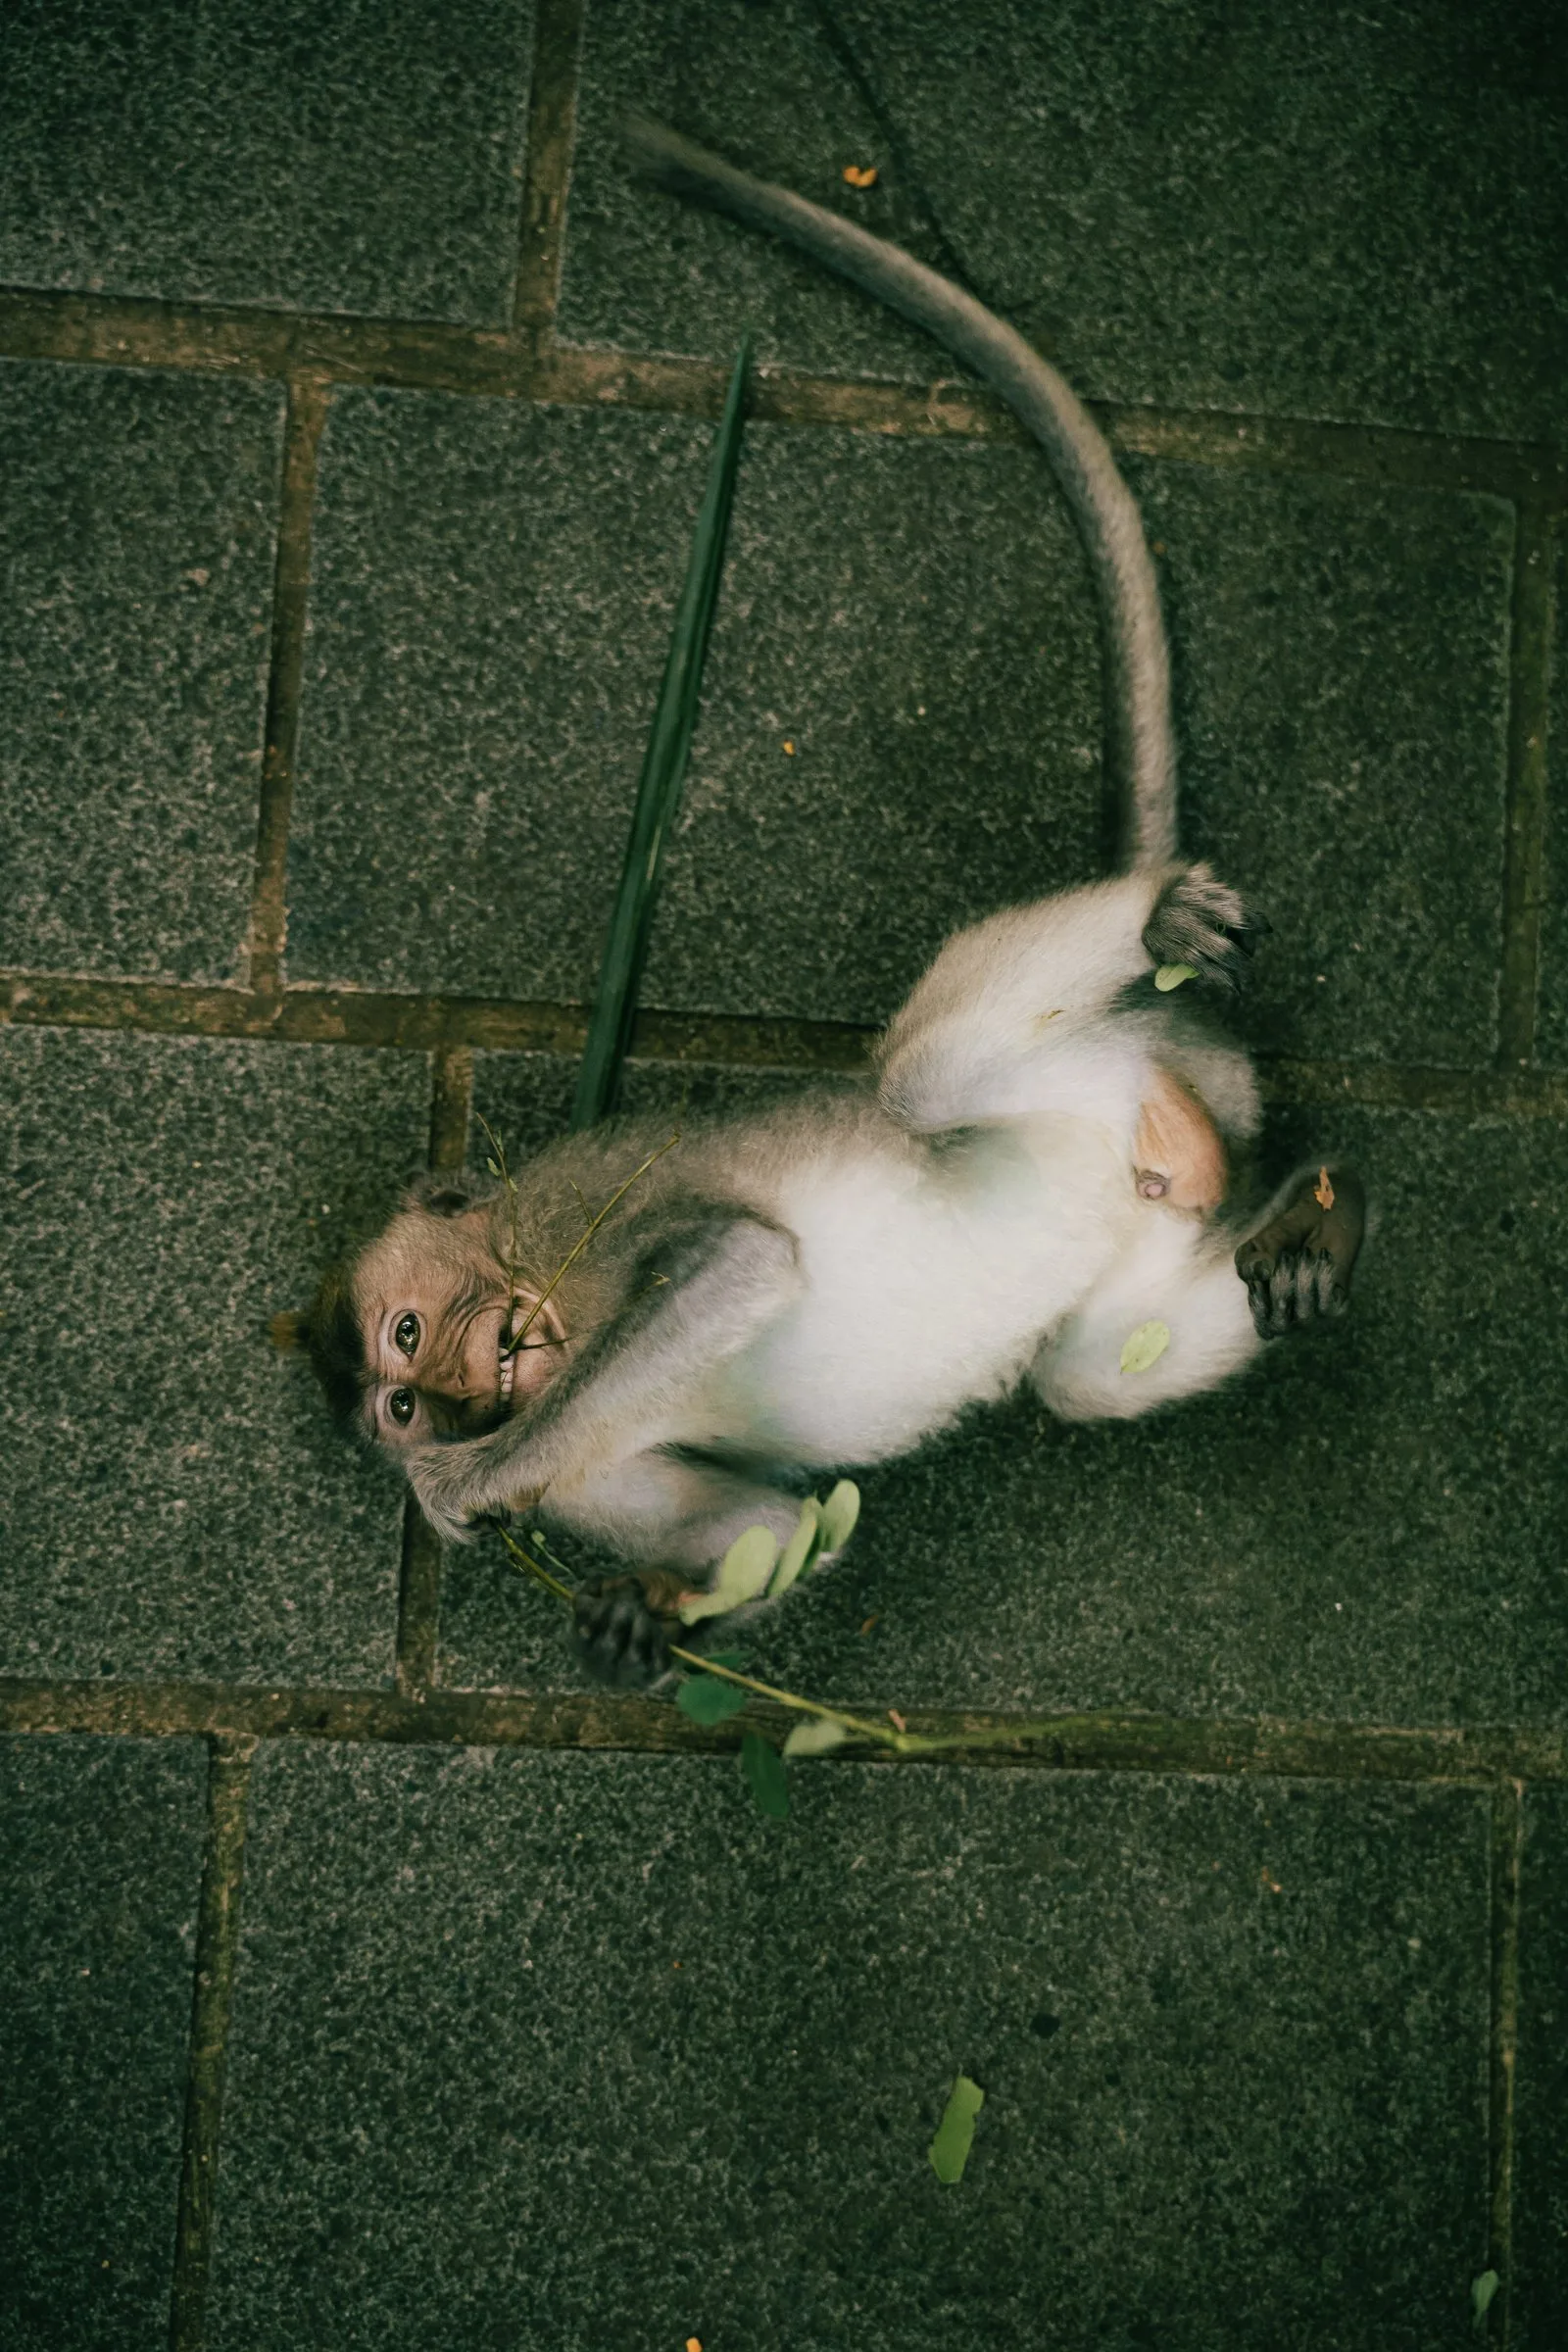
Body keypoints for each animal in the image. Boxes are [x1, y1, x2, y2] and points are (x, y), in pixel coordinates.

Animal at [283, 122, 1366, 1688]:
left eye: (417, 1337)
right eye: (401, 1393)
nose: (460, 1401)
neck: (532, 1287)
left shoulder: (584, 1219)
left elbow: (734, 1264)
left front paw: (463, 1494)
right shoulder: (601, 1470)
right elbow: (778, 1522)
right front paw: (646, 1611)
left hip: (1098, 1065)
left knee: (922, 1087)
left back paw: (1154, 921)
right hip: (1148, 1228)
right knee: (1085, 1374)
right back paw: (1311, 1245)